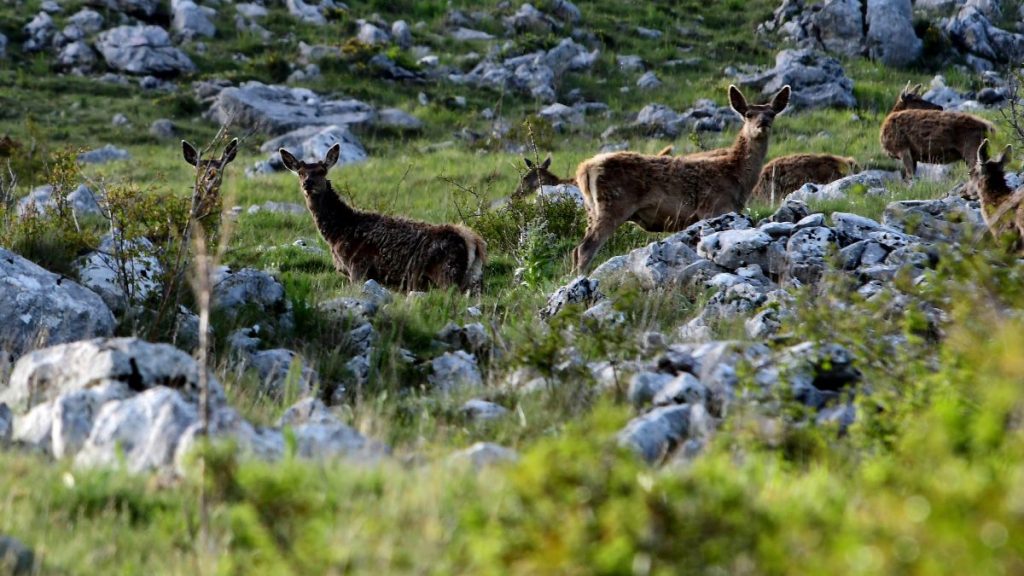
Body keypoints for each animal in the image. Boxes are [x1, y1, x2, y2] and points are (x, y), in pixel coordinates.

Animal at [280, 144, 487, 294]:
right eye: (300, 172)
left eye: (322, 171)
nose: (307, 183)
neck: (338, 232)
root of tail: (474, 242)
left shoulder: (358, 267)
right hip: (472, 278)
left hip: (448, 273)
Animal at [571, 84, 791, 273]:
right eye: (748, 114)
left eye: (772, 114)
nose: (762, 124)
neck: (737, 178)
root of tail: (585, 168)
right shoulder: (714, 207)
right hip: (613, 204)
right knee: (585, 249)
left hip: (591, 209)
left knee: (576, 249)